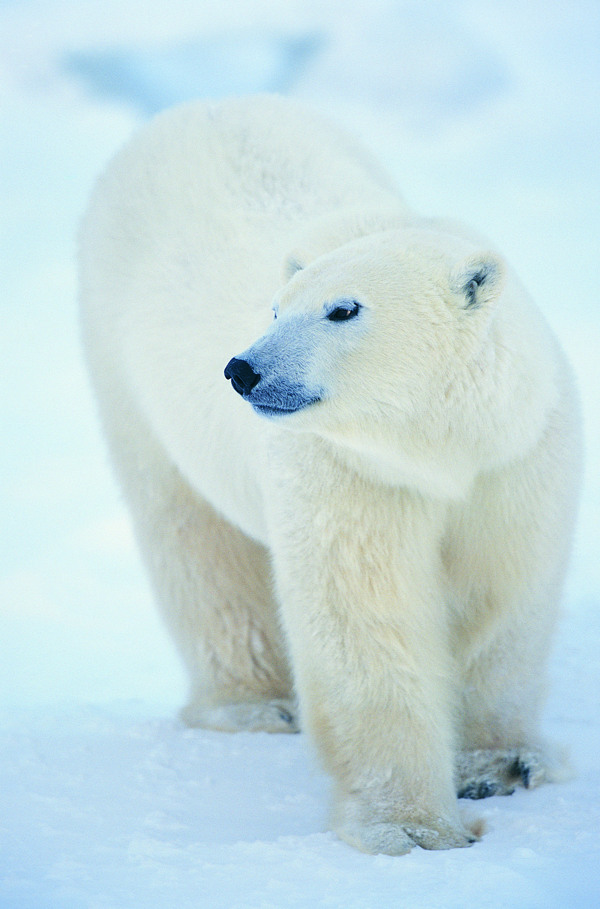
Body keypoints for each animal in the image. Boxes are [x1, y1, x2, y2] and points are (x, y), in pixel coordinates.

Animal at [79, 96, 580, 856]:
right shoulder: (345, 471)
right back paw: (255, 704)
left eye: (343, 308)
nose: (242, 369)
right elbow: (366, 620)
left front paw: (501, 764)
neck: (438, 449)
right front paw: (412, 827)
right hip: (124, 363)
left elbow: (501, 602)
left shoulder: (515, 460)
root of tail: (197, 107)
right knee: (194, 537)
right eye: (275, 308)